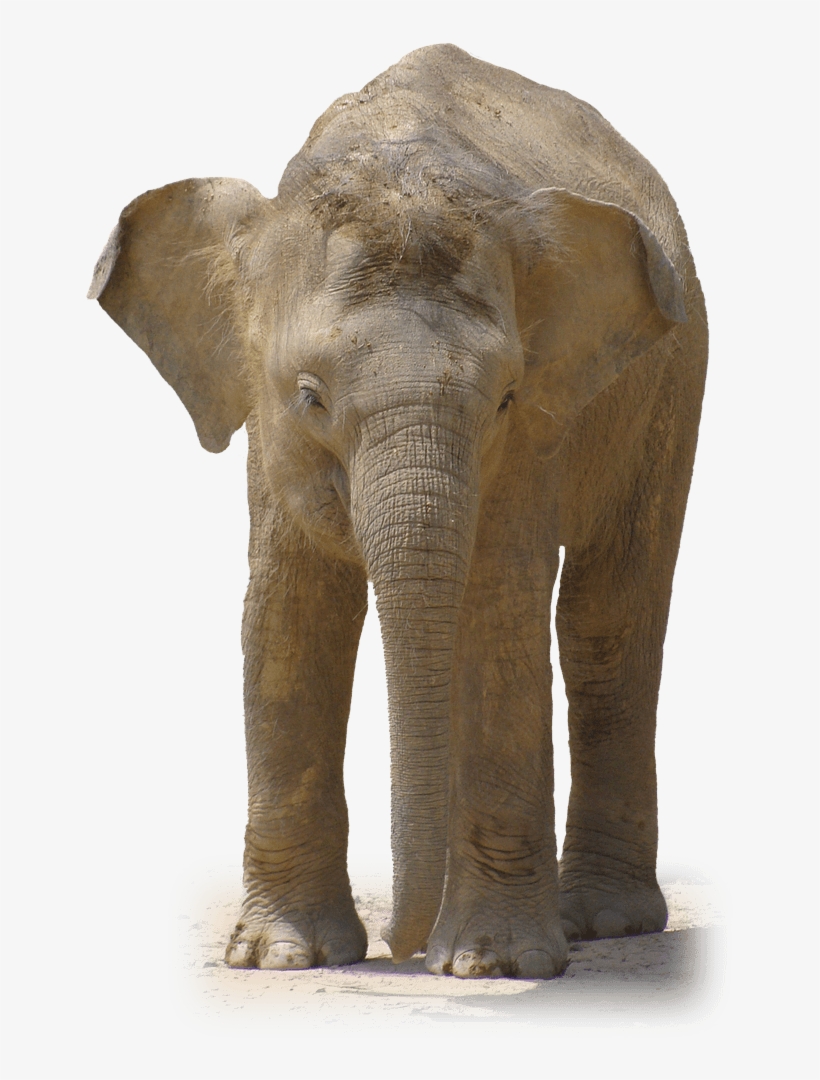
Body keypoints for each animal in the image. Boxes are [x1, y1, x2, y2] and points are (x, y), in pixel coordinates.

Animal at [89, 44, 707, 979]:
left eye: (505, 398)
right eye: (309, 394)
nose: (398, 948)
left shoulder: (537, 432)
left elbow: (498, 609)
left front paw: (491, 965)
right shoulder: (269, 433)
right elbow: (287, 614)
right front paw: (282, 957)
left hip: (676, 369)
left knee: (608, 622)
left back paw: (601, 923)